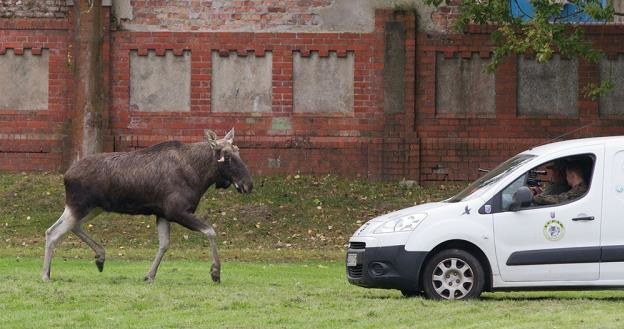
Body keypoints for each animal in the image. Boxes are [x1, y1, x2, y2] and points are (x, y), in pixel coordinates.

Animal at [41, 128, 252, 282]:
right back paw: (45, 275)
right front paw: (215, 272)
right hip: (80, 206)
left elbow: (164, 245)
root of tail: (66, 175)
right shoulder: (176, 211)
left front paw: (150, 275)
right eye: (227, 156)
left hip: (92, 208)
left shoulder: (163, 214)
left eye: (238, 151)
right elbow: (210, 231)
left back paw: (99, 256)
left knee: (68, 227)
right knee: (53, 232)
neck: (200, 177)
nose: (248, 184)